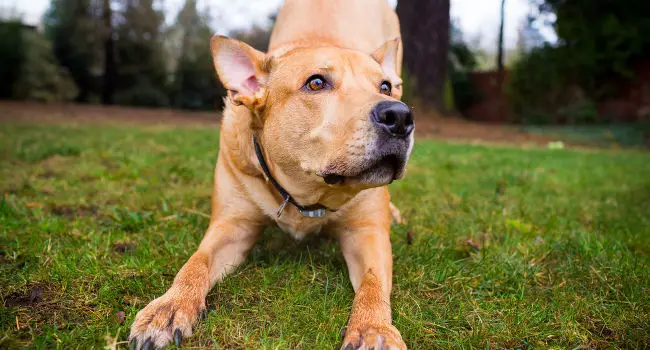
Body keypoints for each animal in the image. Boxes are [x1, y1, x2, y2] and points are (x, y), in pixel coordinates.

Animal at [127, 1, 412, 348]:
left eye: (384, 87)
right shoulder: (232, 226)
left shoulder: (367, 232)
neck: (307, 190)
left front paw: (374, 328)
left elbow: (373, 284)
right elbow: (195, 264)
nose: (399, 115)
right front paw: (169, 306)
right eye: (316, 83)